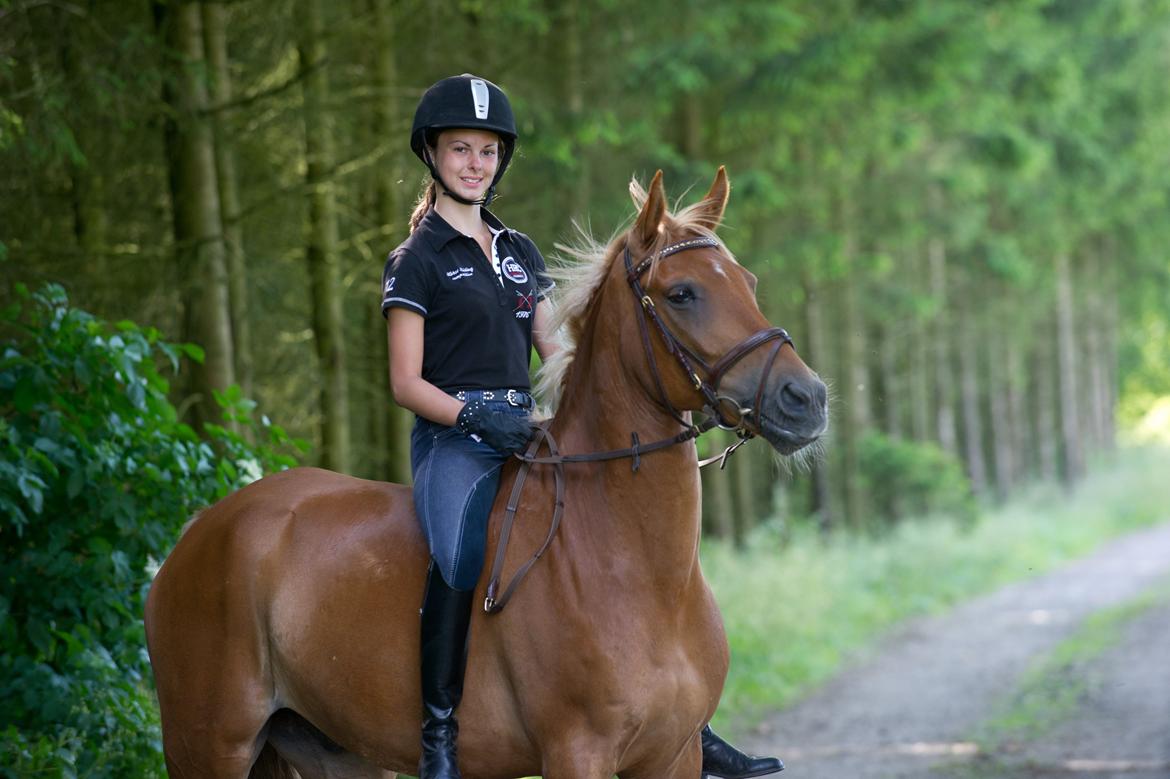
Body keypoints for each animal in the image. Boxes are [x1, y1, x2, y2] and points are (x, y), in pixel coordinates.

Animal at [144, 167, 829, 779]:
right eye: (682, 293)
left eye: (748, 281)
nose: (807, 399)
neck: (631, 567)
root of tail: (197, 531)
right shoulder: (576, 752)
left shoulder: (673, 756)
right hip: (208, 747)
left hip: (330, 750)